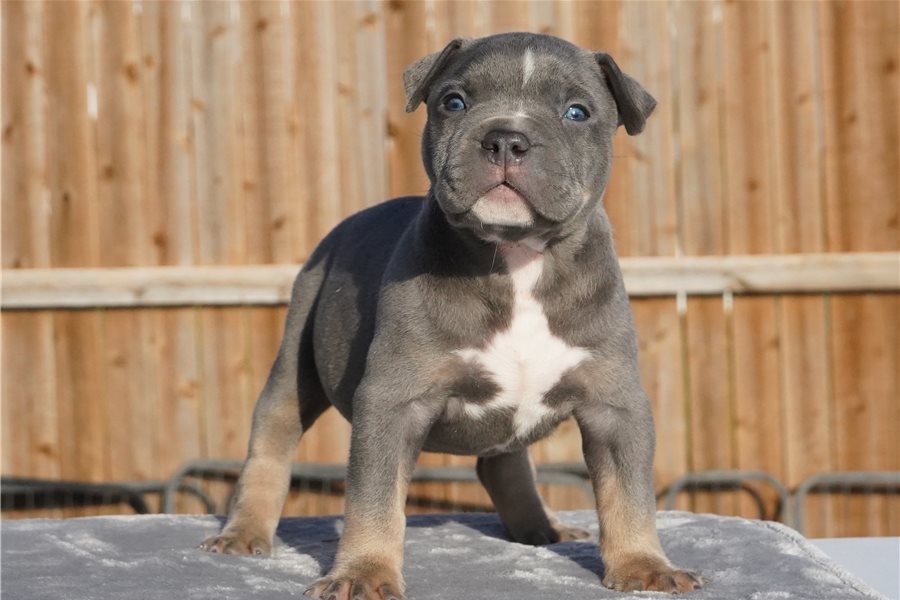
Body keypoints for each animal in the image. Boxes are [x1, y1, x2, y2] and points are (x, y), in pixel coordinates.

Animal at [199, 32, 702, 599]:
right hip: (296, 354)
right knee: (273, 436)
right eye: (454, 102)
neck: (518, 257)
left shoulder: (614, 405)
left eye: (576, 112)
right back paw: (244, 531)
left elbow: (628, 491)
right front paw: (364, 572)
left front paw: (643, 564)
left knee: (503, 463)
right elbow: (374, 500)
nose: (506, 138)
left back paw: (541, 527)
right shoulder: (393, 401)